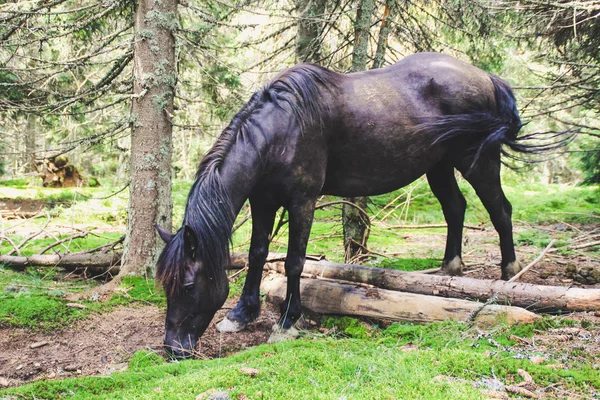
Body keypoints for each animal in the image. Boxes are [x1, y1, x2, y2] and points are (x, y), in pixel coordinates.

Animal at [156, 51, 528, 358]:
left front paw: (287, 322)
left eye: (188, 286)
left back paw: (509, 273)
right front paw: (241, 315)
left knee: (500, 210)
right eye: (166, 286)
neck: (281, 131)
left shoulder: (302, 201)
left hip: (478, 162)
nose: (173, 349)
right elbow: (257, 254)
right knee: (455, 207)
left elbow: (294, 262)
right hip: (438, 166)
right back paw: (450, 268)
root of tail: (487, 78)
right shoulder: (262, 201)